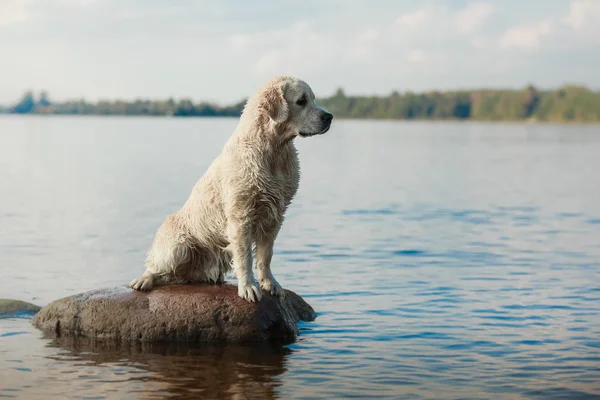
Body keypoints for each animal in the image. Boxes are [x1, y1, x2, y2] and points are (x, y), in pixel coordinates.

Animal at [128, 75, 332, 302]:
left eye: (313, 99)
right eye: (301, 101)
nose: (329, 117)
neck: (273, 151)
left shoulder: (275, 215)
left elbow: (265, 255)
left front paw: (270, 283)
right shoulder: (241, 214)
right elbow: (245, 256)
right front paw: (248, 287)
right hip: (177, 245)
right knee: (156, 266)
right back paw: (143, 280)